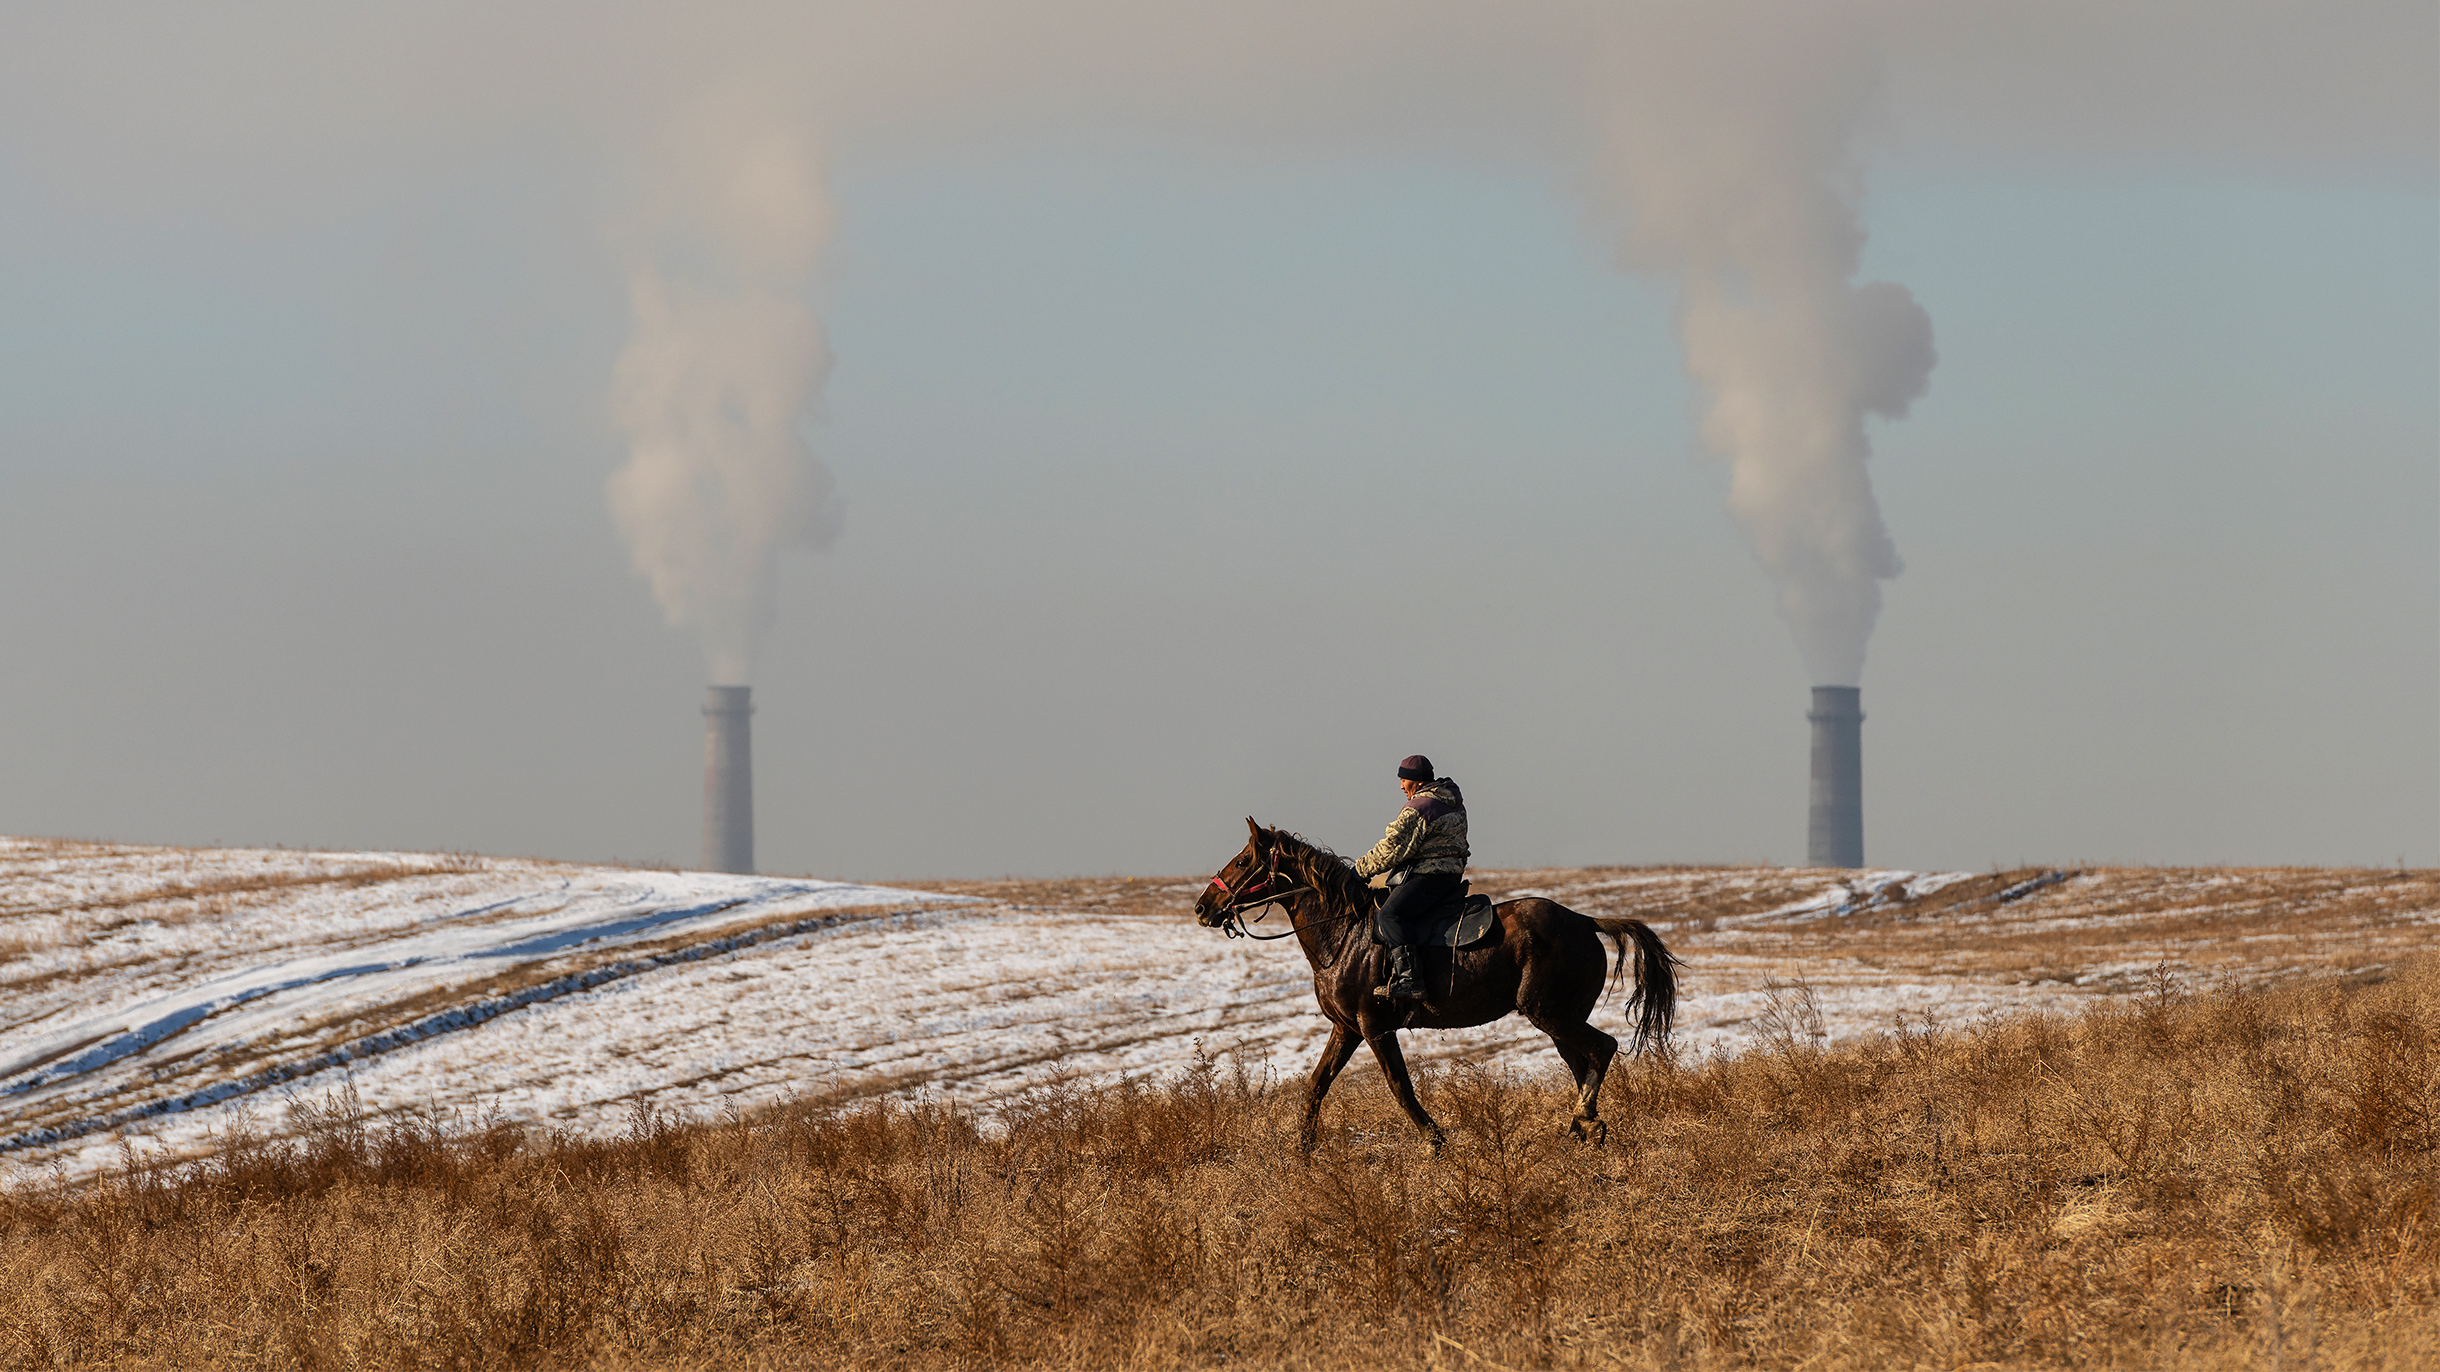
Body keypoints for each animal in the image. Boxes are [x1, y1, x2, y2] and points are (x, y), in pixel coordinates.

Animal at [1195, 815, 1678, 1147]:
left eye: (1242, 861)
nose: (1204, 907)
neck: (1344, 934)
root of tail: (1585, 921)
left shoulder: (1374, 1027)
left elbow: (1399, 1086)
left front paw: (1434, 1141)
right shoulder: (1346, 1029)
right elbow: (1316, 1086)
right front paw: (1303, 1150)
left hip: (1550, 1014)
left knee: (1603, 1048)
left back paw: (1585, 1120)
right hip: (1560, 1020)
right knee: (1583, 1061)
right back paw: (1584, 1126)